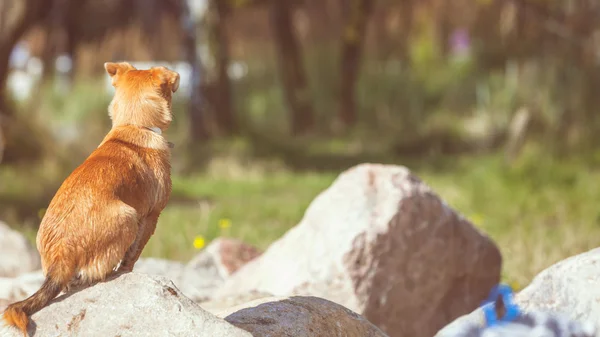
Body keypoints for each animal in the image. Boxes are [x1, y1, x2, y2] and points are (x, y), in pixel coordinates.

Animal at [1, 61, 178, 334]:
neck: (132, 125)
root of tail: (61, 254)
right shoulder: (151, 217)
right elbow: (133, 253)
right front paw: (127, 269)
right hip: (128, 216)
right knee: (100, 271)